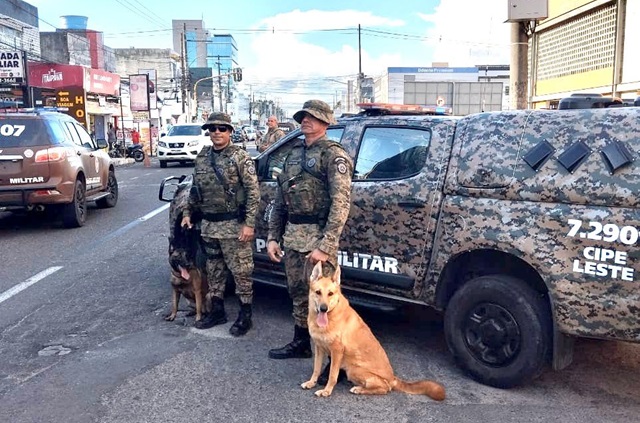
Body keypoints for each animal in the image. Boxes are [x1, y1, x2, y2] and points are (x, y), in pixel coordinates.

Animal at [164, 177, 209, 322]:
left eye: (188, 255)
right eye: (179, 256)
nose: (188, 264)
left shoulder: (197, 291)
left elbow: (200, 307)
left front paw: (198, 318)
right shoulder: (175, 292)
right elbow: (174, 305)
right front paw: (172, 316)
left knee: (204, 308)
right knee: (193, 307)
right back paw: (190, 312)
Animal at [302, 262, 444, 400]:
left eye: (330, 294)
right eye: (318, 292)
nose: (323, 308)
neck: (330, 315)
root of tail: (393, 378)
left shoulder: (337, 351)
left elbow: (332, 375)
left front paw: (326, 391)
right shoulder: (319, 348)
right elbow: (316, 369)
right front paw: (311, 382)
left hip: (354, 370)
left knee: (385, 389)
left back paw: (360, 389)